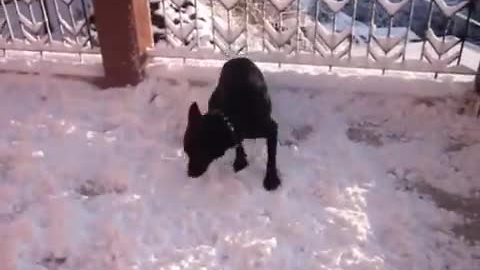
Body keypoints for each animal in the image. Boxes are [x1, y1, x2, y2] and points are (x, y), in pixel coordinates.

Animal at [184, 57, 282, 191]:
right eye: (187, 152)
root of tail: (237, 58)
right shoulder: (237, 133)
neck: (229, 119)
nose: (189, 173)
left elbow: (271, 157)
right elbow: (239, 144)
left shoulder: (271, 129)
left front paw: (271, 179)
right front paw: (240, 161)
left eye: (199, 152)